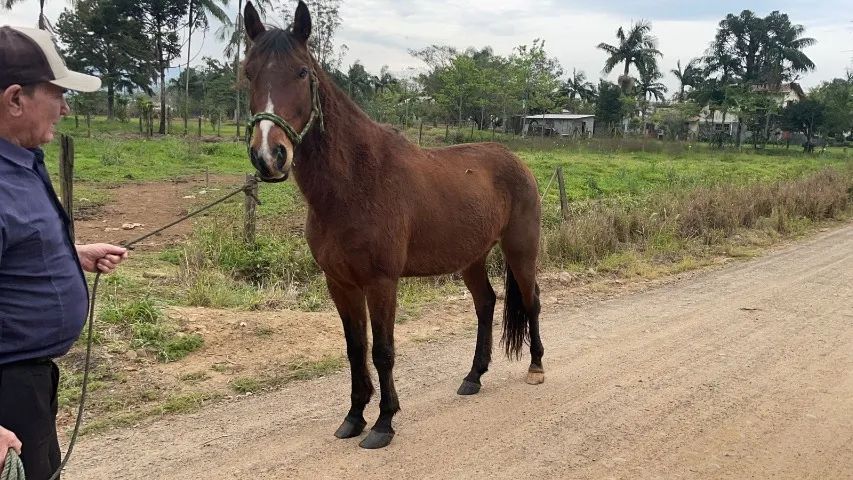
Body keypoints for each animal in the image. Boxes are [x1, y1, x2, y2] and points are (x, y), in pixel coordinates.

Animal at [242, 1, 544, 449]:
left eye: (302, 72)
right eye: (248, 72)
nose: (269, 156)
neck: (354, 184)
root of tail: (515, 161)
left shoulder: (381, 282)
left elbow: (382, 350)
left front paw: (383, 423)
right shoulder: (340, 283)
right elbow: (356, 349)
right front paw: (353, 418)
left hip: (521, 248)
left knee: (531, 298)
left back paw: (536, 367)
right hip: (471, 258)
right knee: (486, 303)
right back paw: (473, 376)